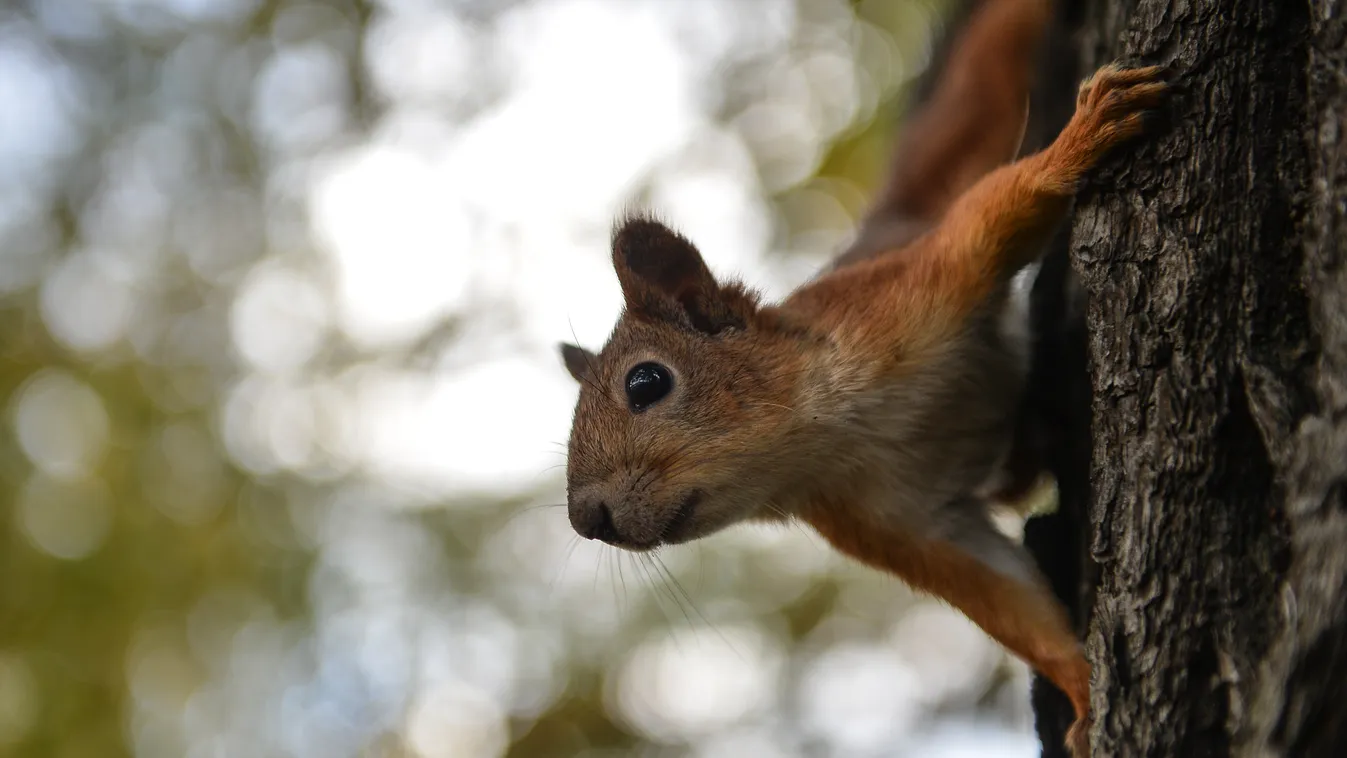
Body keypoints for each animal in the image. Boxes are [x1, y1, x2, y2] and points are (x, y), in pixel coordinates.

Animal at [552, 2, 1163, 753]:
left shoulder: (915, 287)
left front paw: (1077, 142)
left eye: (645, 384)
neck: (833, 435)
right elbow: (1006, 603)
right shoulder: (903, 527)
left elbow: (1000, 207)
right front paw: (1079, 689)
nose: (587, 519)